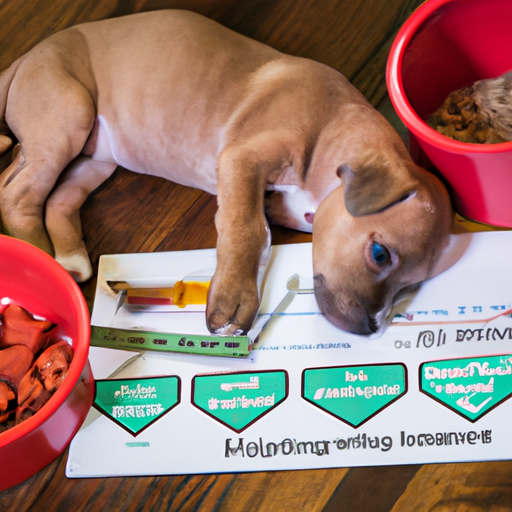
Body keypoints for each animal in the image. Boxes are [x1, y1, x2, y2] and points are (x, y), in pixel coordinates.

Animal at [0, 10, 452, 336]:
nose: (369, 329)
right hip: (69, 116)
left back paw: (70, 260)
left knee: (52, 195)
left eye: (411, 285)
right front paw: (234, 297)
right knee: (17, 195)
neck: (332, 126)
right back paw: (42, 268)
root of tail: (30, 53)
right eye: (379, 255)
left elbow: (262, 224)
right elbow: (247, 229)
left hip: (95, 159)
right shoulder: (242, 158)